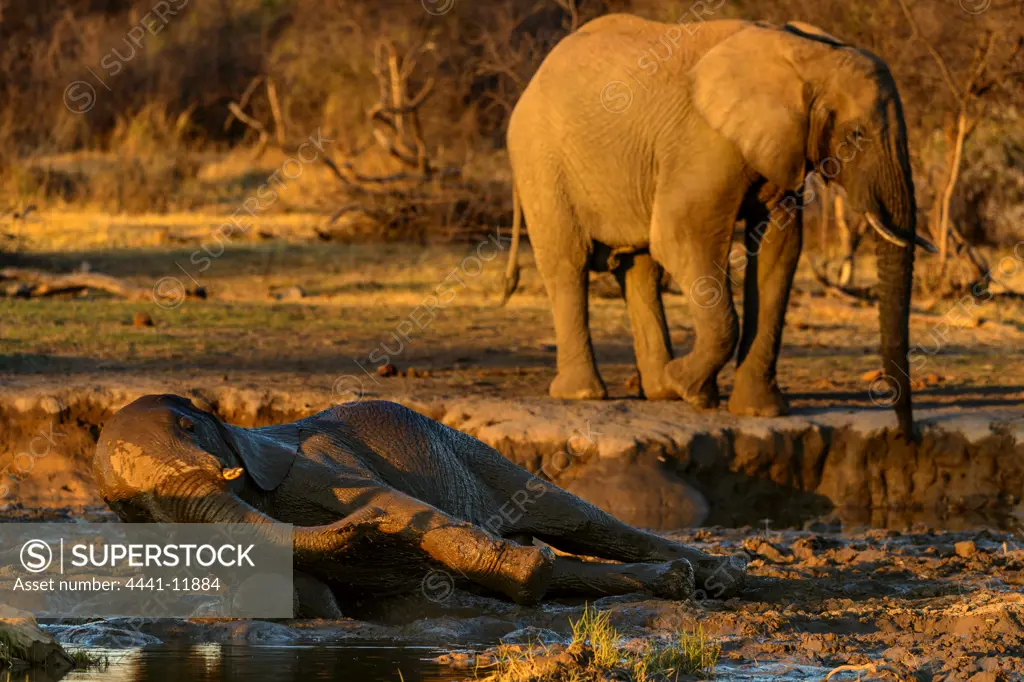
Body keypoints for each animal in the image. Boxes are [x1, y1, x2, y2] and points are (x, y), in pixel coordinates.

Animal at [94, 393, 745, 610]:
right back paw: (676, 582)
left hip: (476, 451)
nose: (366, 525)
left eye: (188, 427)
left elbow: (404, 507)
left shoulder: (308, 465)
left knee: (576, 519)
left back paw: (723, 577)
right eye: (133, 511)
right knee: (568, 562)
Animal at [501, 14, 937, 436]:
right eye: (856, 135)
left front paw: (757, 411)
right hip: (540, 160)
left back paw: (659, 390)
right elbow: (680, 237)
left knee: (640, 268)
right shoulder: (703, 142)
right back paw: (585, 394)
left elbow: (779, 251)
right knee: (568, 263)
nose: (907, 434)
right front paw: (690, 390)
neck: (809, 56)